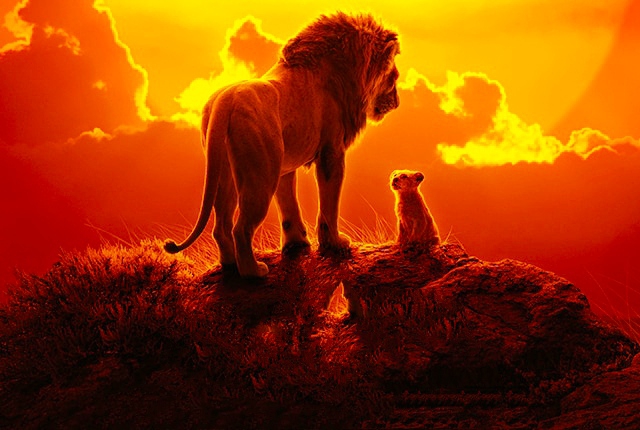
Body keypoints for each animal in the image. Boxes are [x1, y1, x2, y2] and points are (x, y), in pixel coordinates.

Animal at [165, 12, 401, 277]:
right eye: (394, 78)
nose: (397, 102)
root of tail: (225, 102)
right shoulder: (331, 152)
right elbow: (329, 204)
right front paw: (335, 244)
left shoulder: (285, 165)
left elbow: (288, 205)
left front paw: (296, 244)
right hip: (260, 175)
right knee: (241, 228)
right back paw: (254, 272)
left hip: (225, 172)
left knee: (222, 226)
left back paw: (230, 265)